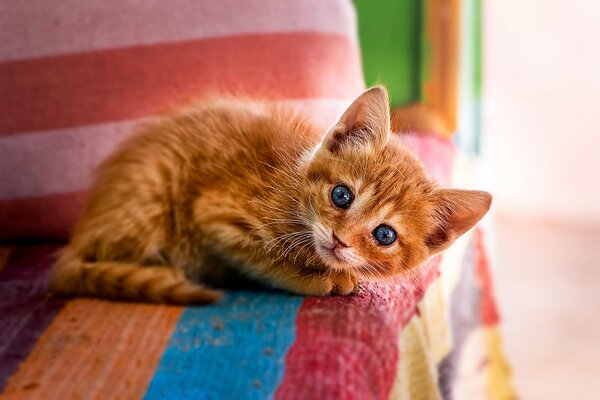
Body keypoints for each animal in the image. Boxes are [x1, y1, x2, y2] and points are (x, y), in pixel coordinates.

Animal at [49, 86, 492, 304]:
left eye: (385, 235)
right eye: (341, 196)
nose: (340, 240)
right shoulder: (217, 216)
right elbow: (264, 259)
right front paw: (316, 278)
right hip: (151, 195)